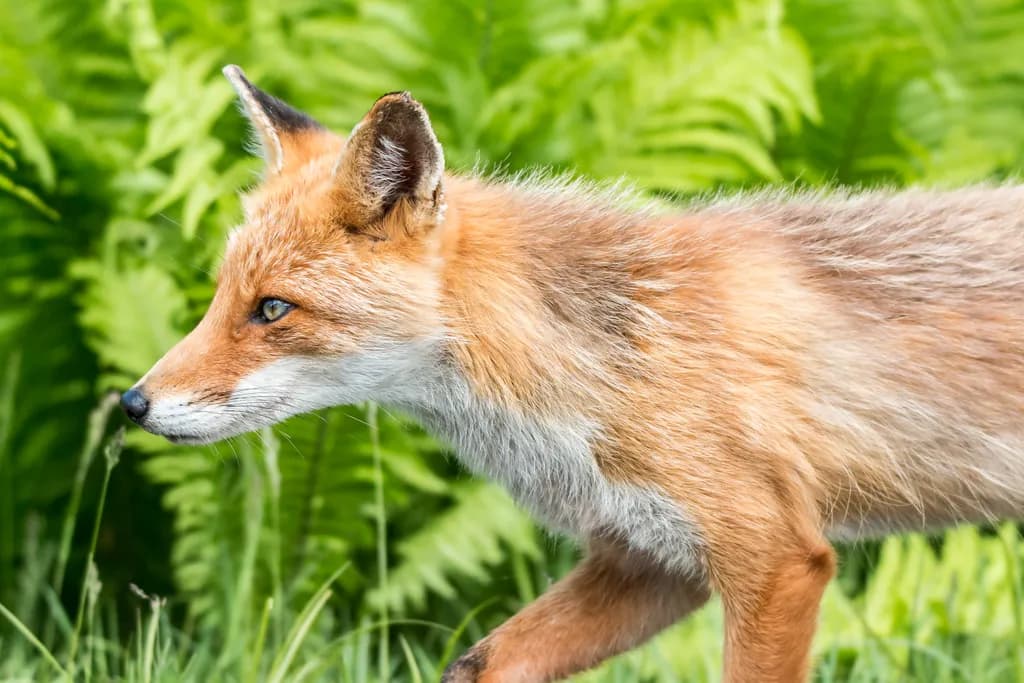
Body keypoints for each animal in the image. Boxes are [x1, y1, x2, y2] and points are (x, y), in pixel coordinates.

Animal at [121, 64, 1024, 683]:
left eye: (272, 309)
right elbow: (476, 663)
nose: (132, 402)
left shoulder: (774, 555)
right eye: (220, 296)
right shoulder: (651, 562)